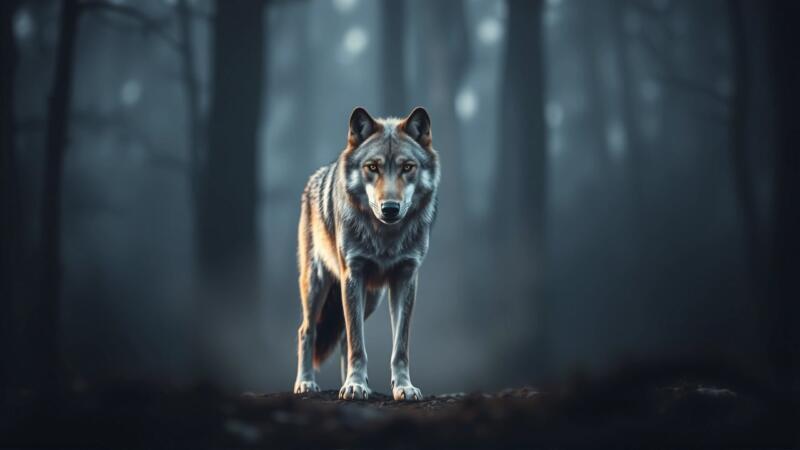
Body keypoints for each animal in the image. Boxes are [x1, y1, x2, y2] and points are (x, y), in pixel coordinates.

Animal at [293, 107, 439, 401]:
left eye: (407, 167)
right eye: (373, 167)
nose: (390, 208)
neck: (385, 238)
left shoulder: (405, 278)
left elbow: (400, 346)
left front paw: (403, 387)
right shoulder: (353, 275)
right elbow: (358, 343)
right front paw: (355, 386)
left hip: (371, 297)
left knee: (342, 337)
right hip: (317, 285)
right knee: (307, 331)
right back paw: (306, 383)